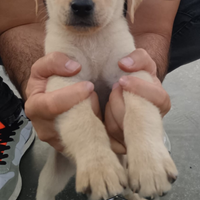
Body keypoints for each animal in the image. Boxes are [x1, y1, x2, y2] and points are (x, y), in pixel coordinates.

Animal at [36, 0, 178, 200]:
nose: (81, 6)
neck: (91, 40)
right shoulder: (65, 82)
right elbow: (85, 122)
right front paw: (100, 168)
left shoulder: (133, 74)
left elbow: (141, 113)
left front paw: (151, 165)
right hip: (52, 176)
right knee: (45, 190)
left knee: (127, 189)